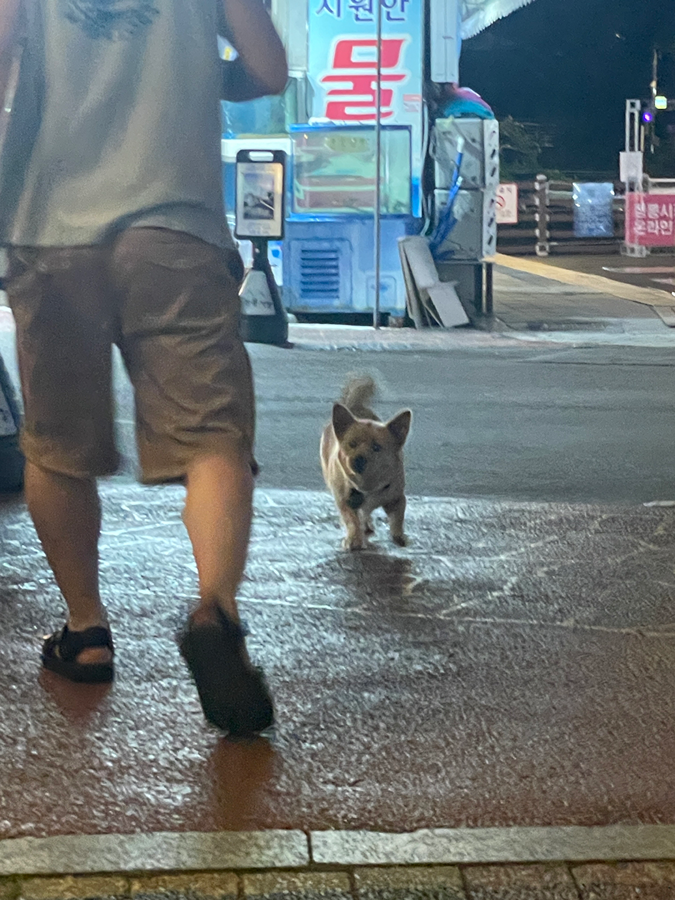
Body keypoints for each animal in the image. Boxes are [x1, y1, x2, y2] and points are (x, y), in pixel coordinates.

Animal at [320, 372, 412, 548]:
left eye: (376, 447)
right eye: (352, 444)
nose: (358, 459)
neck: (367, 484)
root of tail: (352, 405)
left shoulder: (397, 498)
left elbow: (398, 518)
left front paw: (399, 535)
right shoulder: (343, 501)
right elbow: (351, 520)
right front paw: (354, 538)